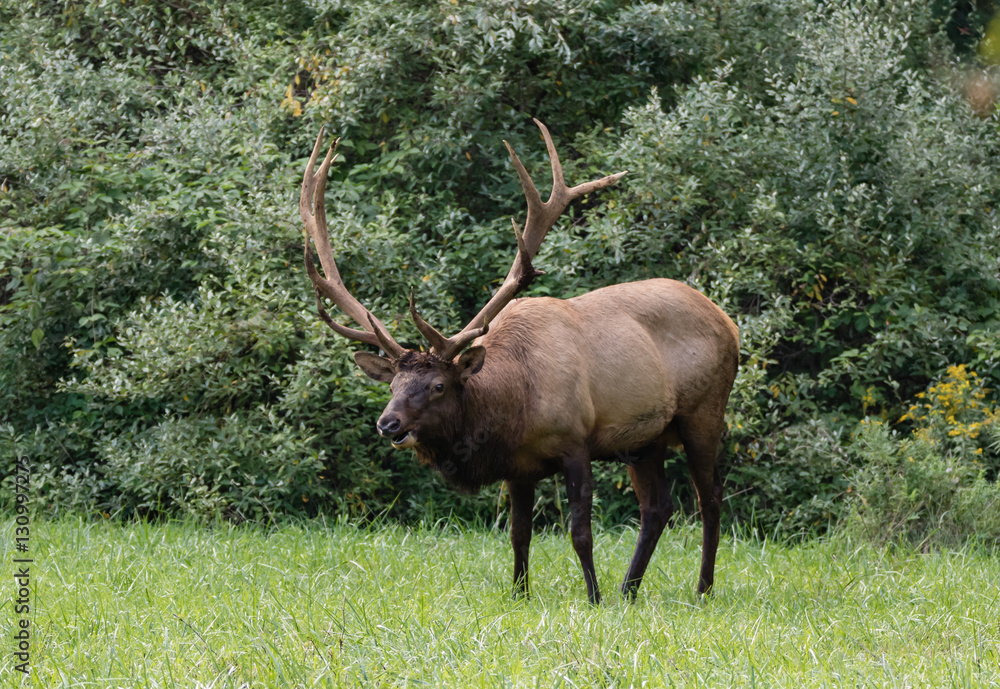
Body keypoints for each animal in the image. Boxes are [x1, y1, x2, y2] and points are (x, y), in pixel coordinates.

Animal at [301, 119, 740, 604]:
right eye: (393, 386)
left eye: (438, 385)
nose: (388, 424)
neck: (513, 404)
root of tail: (729, 323)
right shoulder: (518, 466)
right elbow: (519, 534)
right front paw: (520, 594)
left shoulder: (575, 442)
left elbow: (580, 532)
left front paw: (593, 597)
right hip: (646, 439)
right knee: (658, 507)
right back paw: (629, 590)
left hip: (704, 412)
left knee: (709, 498)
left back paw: (701, 589)